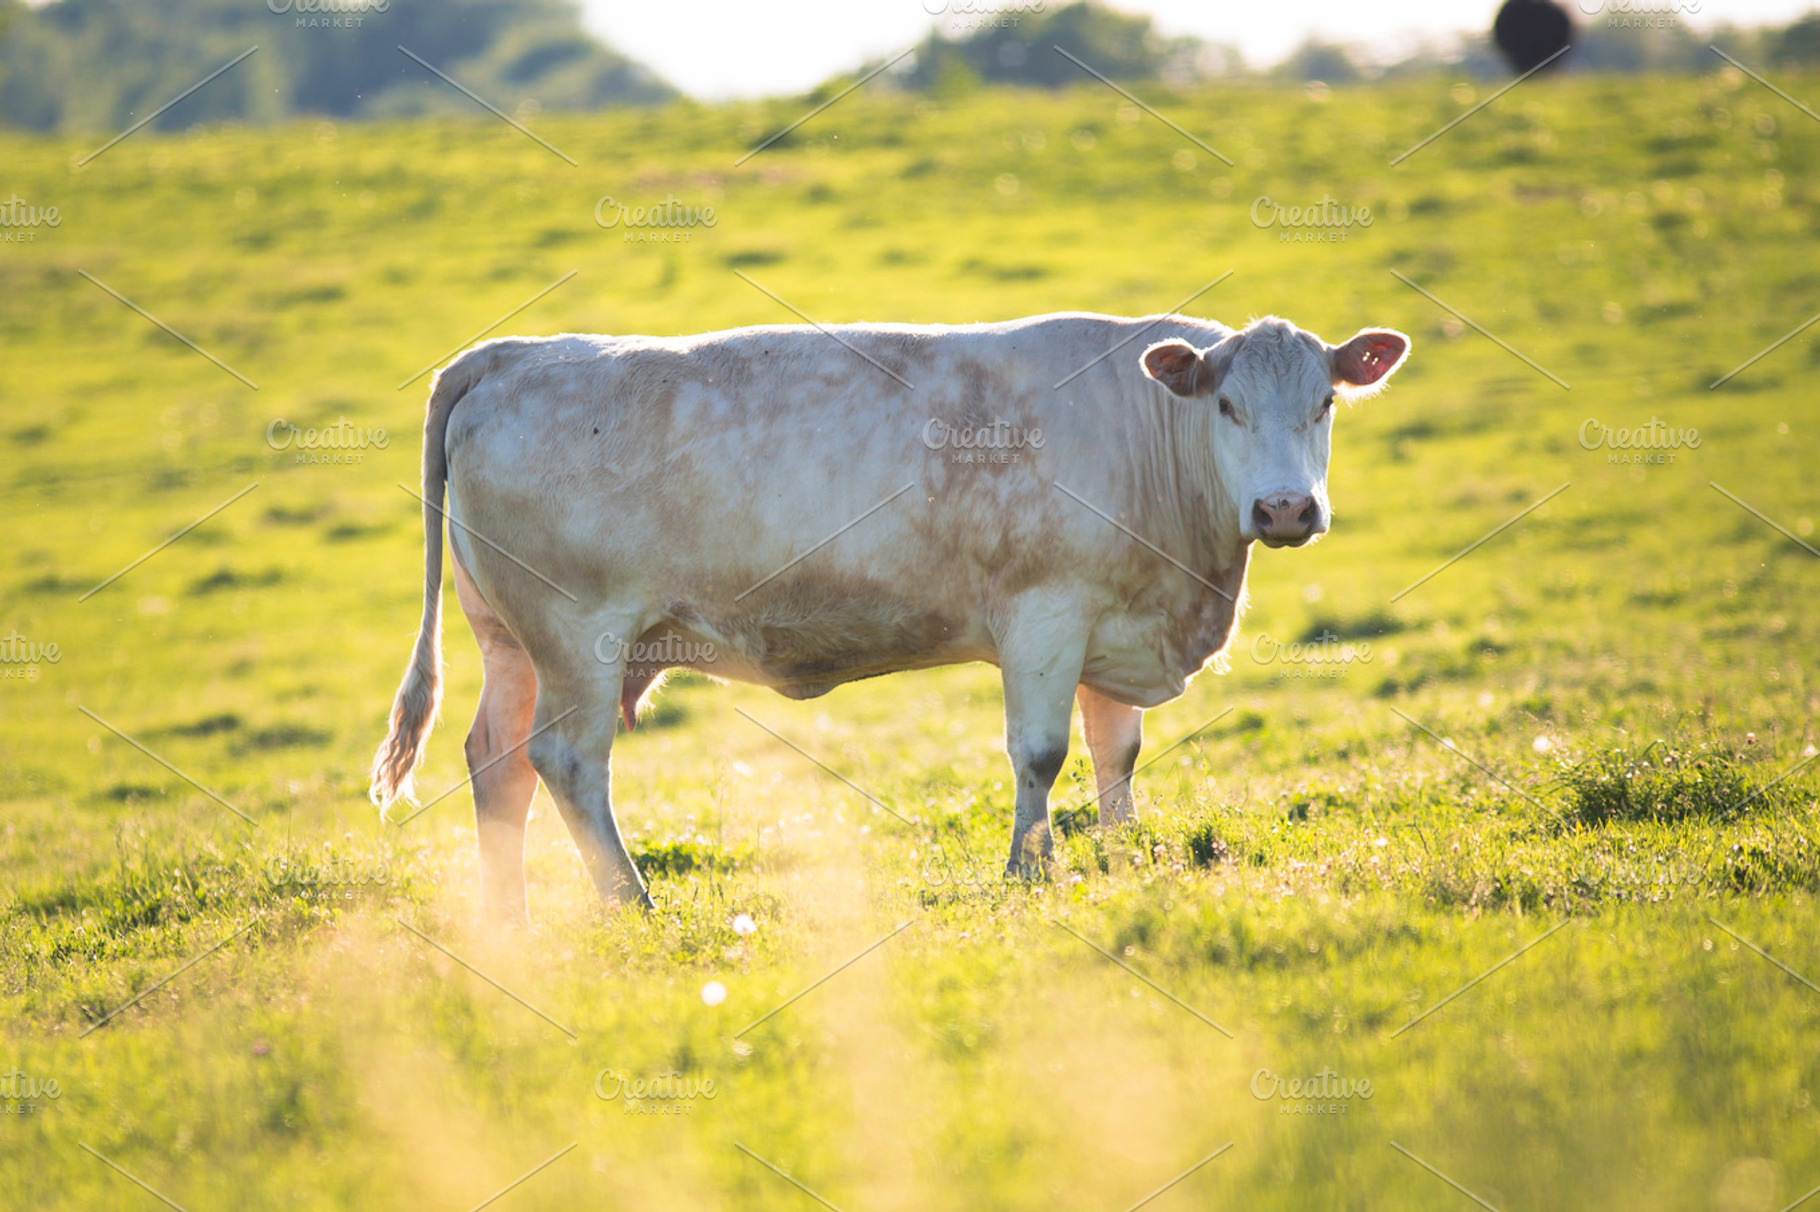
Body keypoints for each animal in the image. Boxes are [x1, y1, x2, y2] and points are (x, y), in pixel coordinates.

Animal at [369, 311, 1410, 922]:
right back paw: (630, 901)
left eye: (1325, 402)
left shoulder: (1115, 622)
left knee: (497, 763)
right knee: (567, 762)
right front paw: (1028, 873)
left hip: (512, 643)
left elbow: (1116, 754)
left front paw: (1121, 863)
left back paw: (508, 921)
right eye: (1227, 404)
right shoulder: (1046, 611)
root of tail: (514, 353)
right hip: (577, 637)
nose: (1285, 508)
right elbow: (1041, 754)